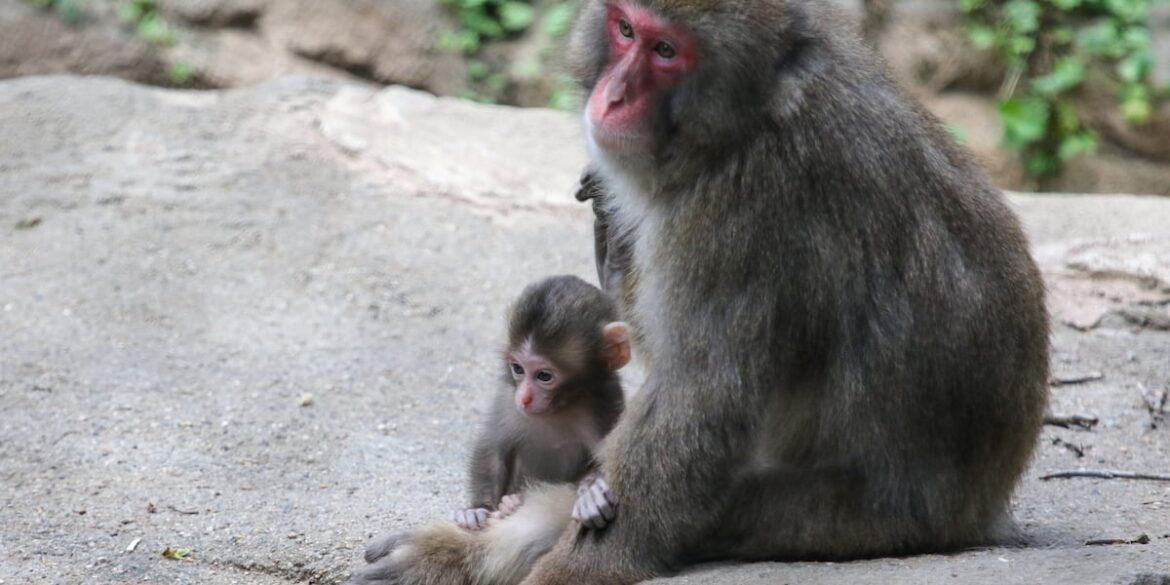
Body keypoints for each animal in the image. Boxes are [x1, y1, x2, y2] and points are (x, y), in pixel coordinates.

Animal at [453, 274, 629, 532]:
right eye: (518, 369)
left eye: (544, 376)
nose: (524, 397)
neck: (560, 406)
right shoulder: (508, 398)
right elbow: (493, 445)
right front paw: (476, 510)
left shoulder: (606, 403)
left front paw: (590, 493)